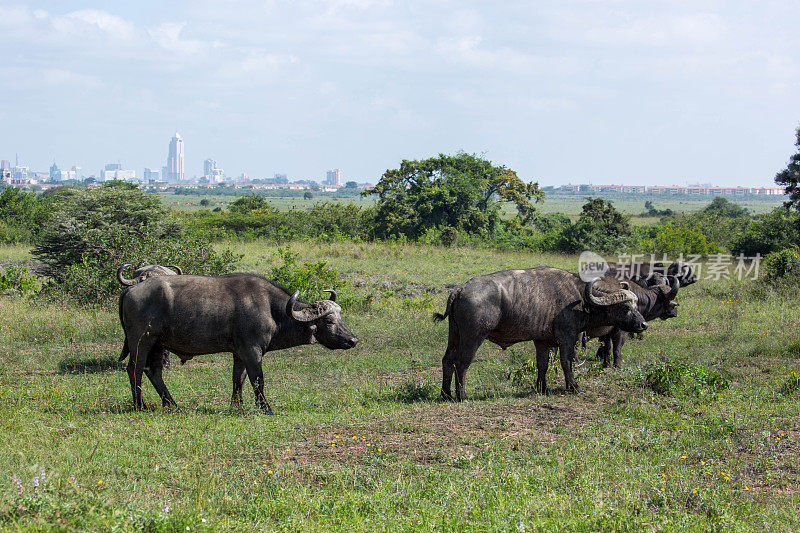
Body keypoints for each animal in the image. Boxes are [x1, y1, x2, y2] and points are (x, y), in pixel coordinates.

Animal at [117, 274, 358, 412]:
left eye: (340, 317)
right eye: (328, 320)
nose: (353, 340)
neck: (271, 309)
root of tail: (130, 289)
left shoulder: (239, 353)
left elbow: (238, 380)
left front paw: (237, 406)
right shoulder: (252, 351)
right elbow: (258, 380)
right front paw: (265, 407)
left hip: (158, 344)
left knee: (154, 372)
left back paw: (171, 404)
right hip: (142, 341)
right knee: (135, 369)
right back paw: (140, 404)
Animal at [434, 266, 648, 400]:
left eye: (636, 304)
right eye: (625, 307)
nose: (643, 324)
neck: (580, 300)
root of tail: (461, 289)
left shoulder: (542, 342)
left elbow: (542, 365)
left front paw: (542, 388)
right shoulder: (567, 337)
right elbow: (566, 362)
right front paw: (573, 386)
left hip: (454, 334)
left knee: (447, 360)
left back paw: (446, 394)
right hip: (473, 338)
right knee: (461, 363)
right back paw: (462, 396)